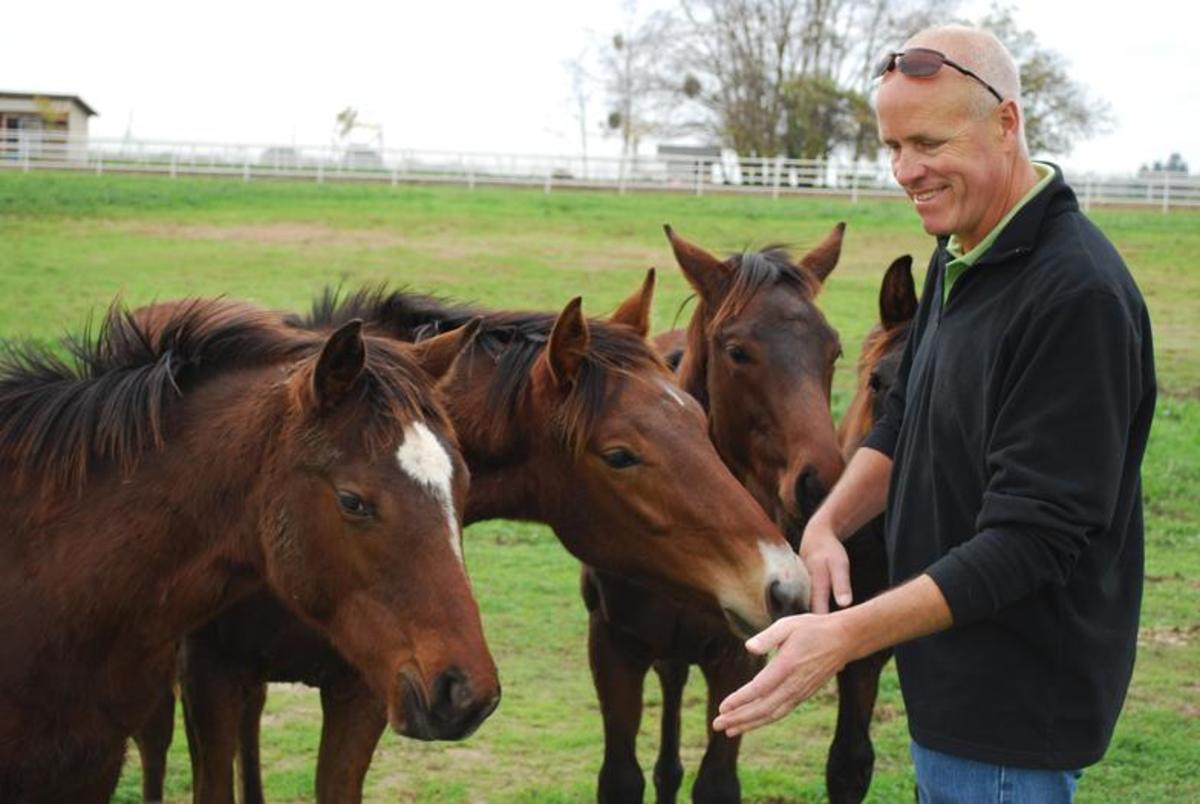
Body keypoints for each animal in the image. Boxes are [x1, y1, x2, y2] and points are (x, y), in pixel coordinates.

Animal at [585, 225, 859, 804]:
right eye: (738, 351)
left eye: (833, 349)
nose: (820, 482)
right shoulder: (614, 647)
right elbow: (620, 778)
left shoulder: (738, 656)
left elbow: (716, 782)